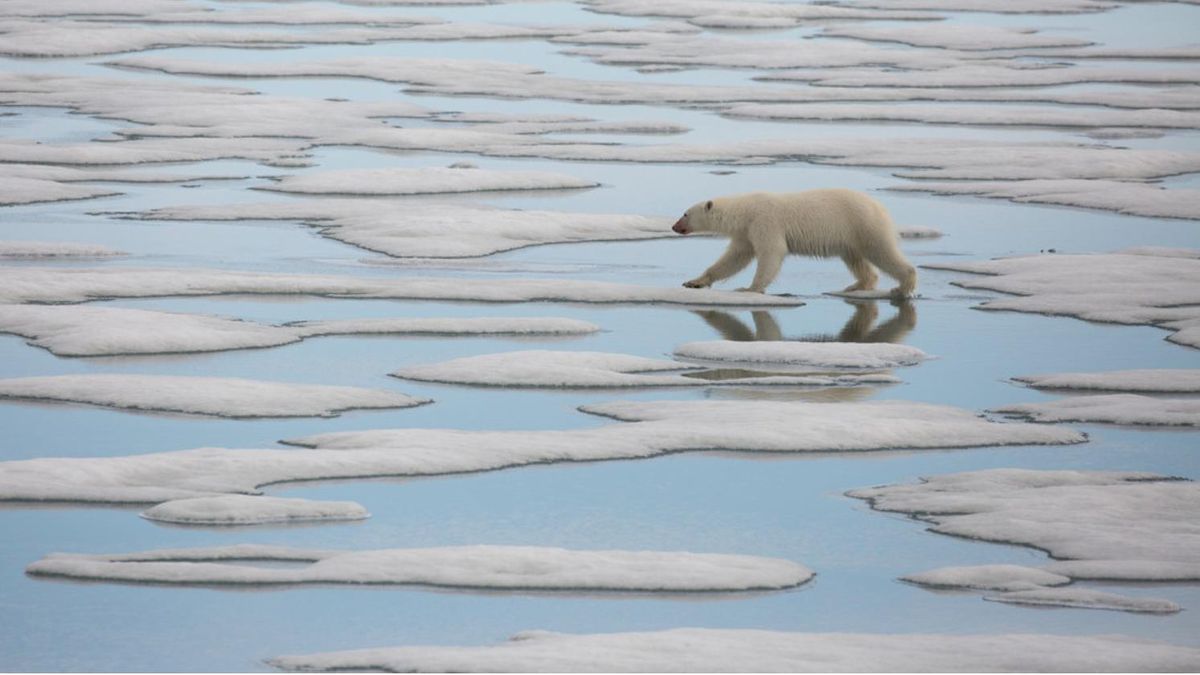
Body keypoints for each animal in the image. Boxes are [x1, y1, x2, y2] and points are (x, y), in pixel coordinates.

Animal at [672, 187, 912, 295]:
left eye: (685, 214)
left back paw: (903, 286)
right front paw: (694, 282)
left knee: (882, 252)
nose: (674, 227)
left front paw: (749, 289)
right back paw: (855, 286)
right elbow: (734, 258)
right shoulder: (746, 232)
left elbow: (772, 252)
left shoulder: (764, 222)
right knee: (857, 260)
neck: (745, 211)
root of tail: (881, 208)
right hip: (851, 237)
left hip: (864, 225)